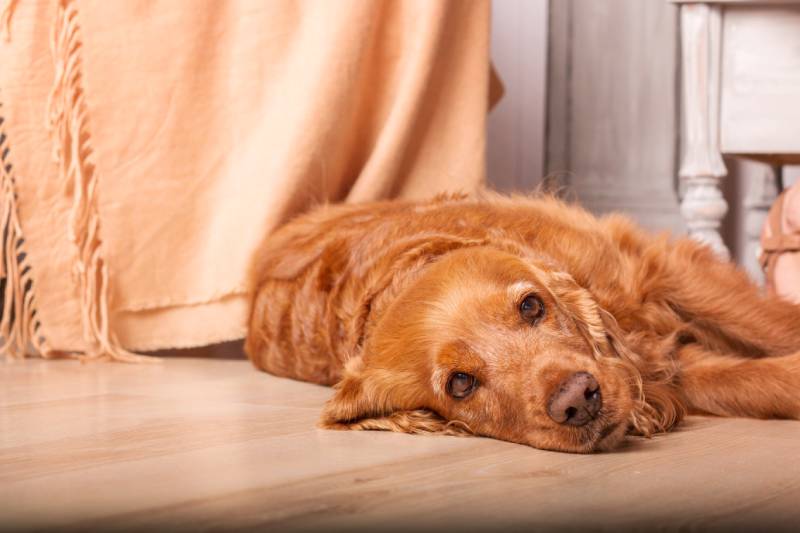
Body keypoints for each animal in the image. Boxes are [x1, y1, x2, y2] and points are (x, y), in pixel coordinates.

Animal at [244, 193, 800, 450]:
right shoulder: (668, 366)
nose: (579, 399)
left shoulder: (660, 270)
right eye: (461, 383)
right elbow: (755, 379)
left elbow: (776, 326)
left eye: (532, 305)